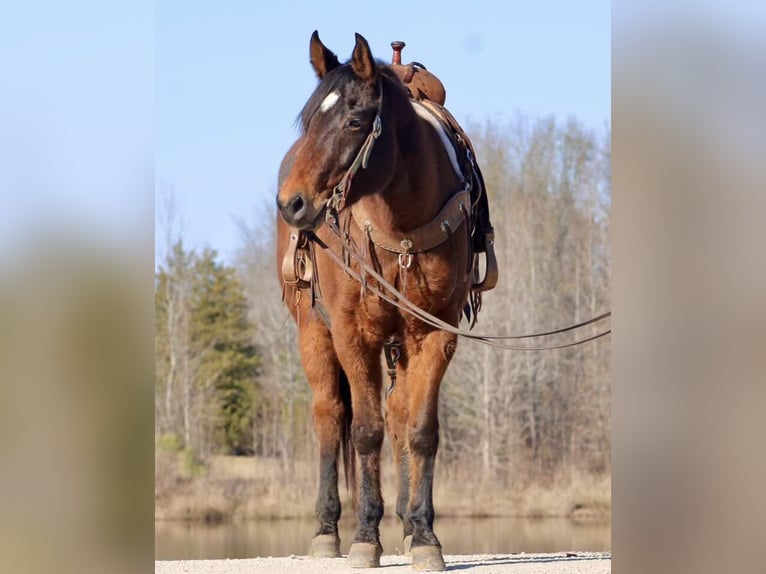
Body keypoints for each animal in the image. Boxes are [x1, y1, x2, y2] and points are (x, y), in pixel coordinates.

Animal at [275, 31, 490, 571]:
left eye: (355, 121)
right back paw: (327, 530)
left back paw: (409, 528)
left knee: (397, 414)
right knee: (331, 416)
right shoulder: (353, 335)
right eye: (307, 121)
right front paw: (365, 537)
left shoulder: (434, 334)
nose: (291, 203)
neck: (401, 224)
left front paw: (426, 535)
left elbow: (420, 430)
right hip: (313, 333)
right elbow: (365, 431)